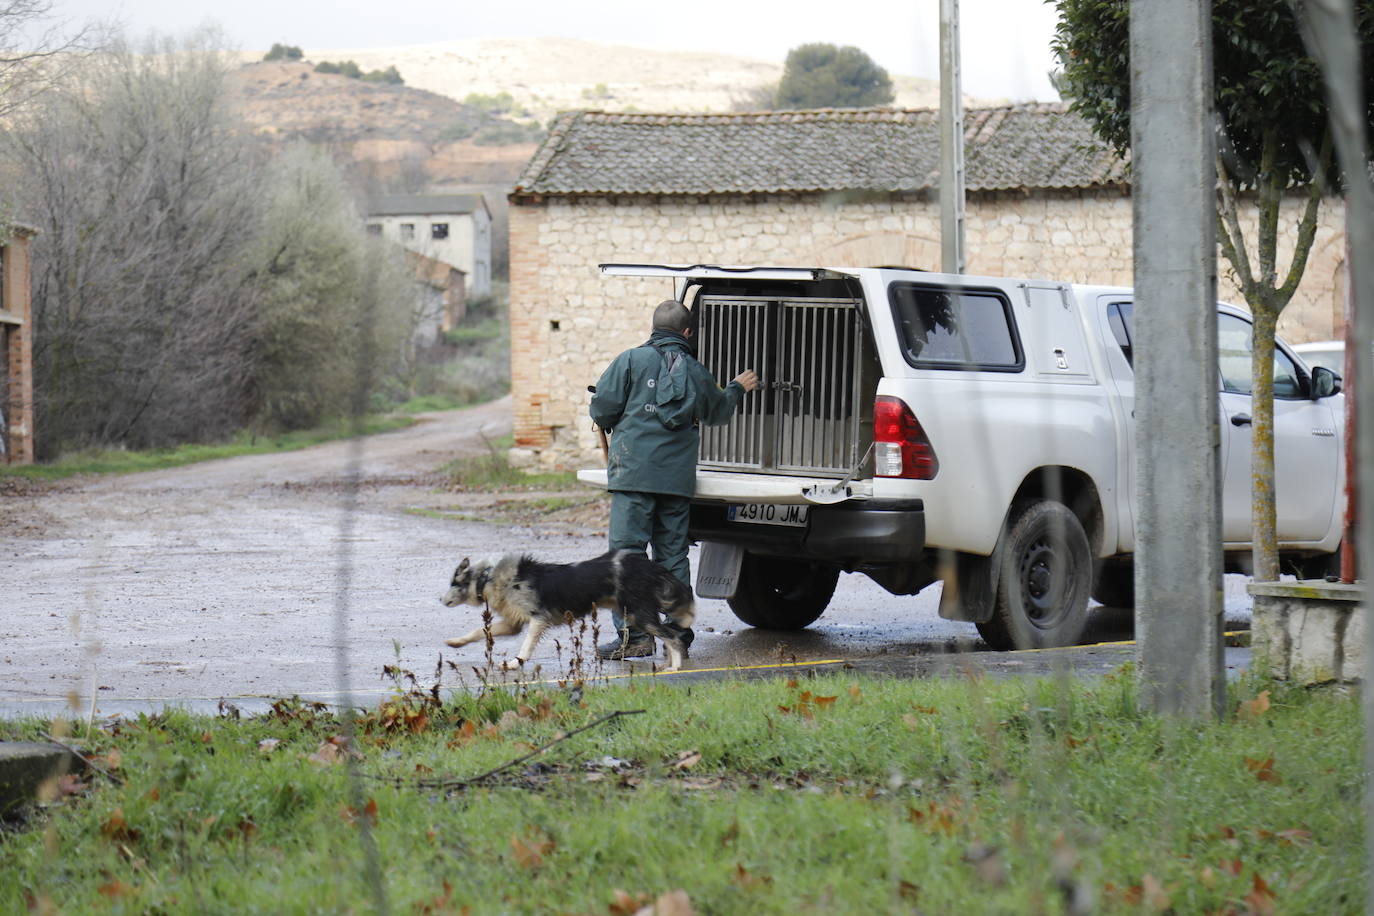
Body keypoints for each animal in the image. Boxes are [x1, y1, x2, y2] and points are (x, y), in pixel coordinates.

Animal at [442, 552, 697, 672]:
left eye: (454, 583)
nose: (441, 600)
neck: (489, 578)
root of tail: (649, 566)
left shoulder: (538, 619)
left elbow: (525, 647)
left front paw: (515, 663)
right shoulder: (512, 624)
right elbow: (479, 632)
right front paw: (456, 642)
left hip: (638, 614)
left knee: (673, 636)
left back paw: (675, 666)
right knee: (670, 635)